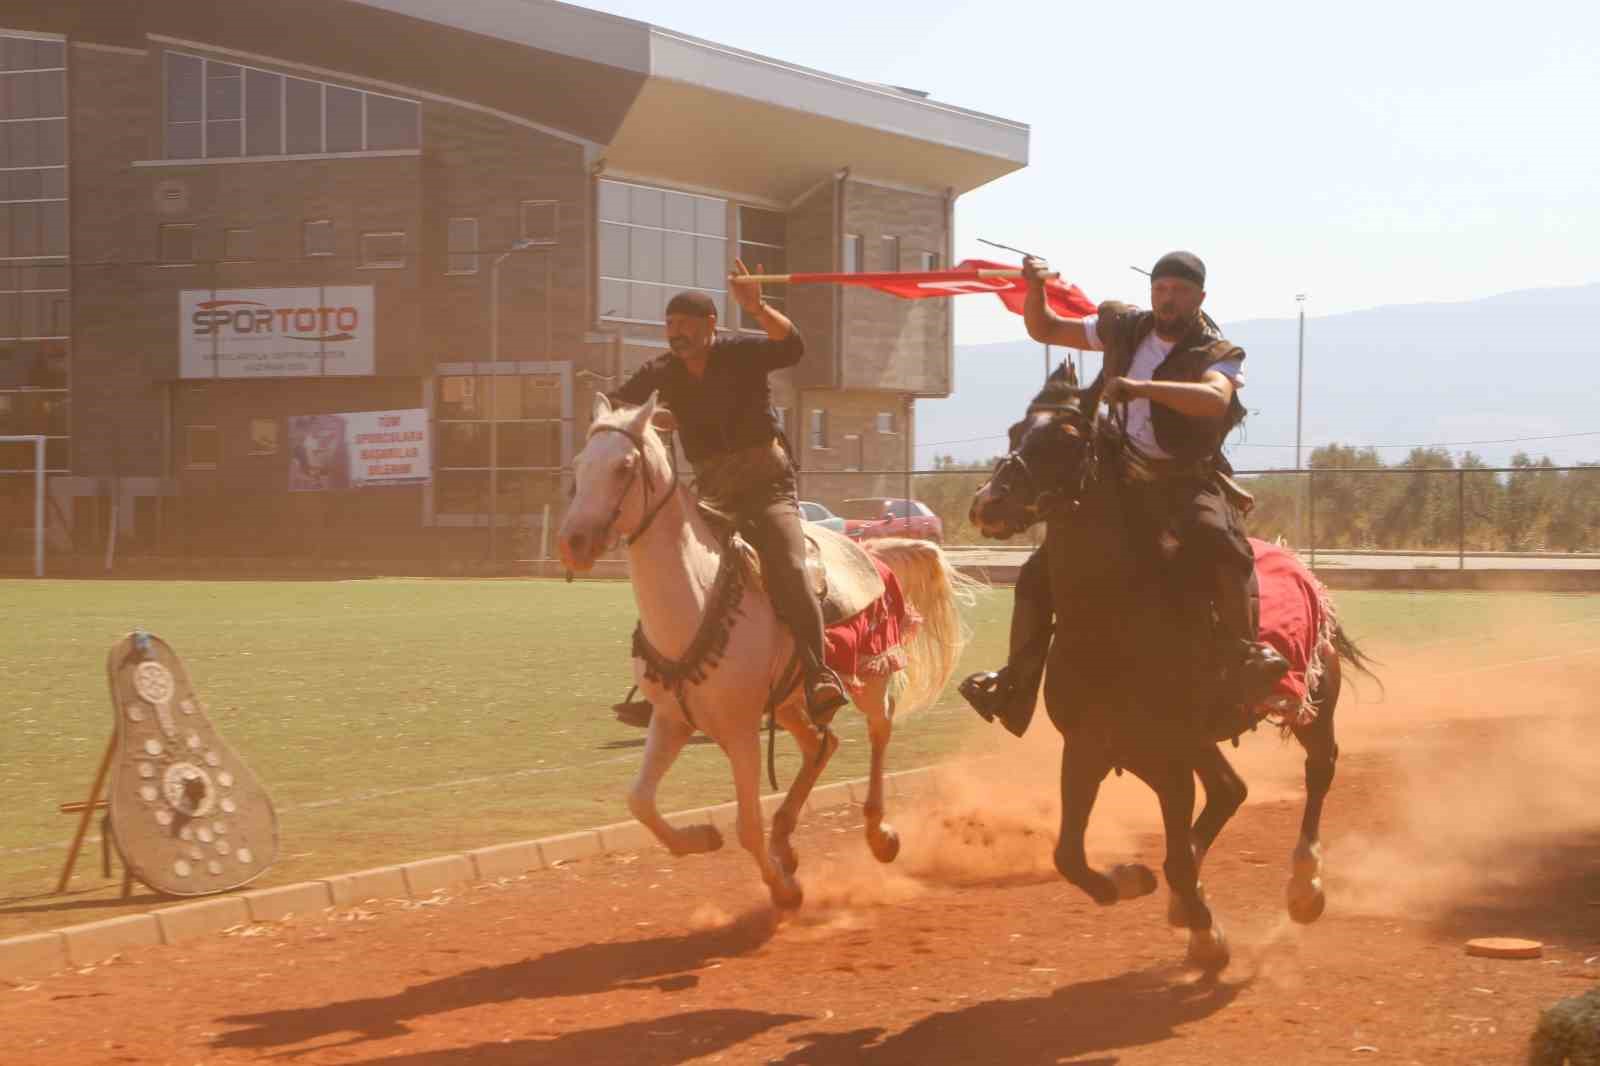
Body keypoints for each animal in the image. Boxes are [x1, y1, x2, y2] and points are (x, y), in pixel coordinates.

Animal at [556, 393, 966, 909]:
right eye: (578, 464)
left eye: (624, 466)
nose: (573, 542)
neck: (695, 598)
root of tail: (868, 551)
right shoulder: (671, 720)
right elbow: (640, 801)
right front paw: (701, 838)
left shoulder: (741, 731)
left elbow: (746, 825)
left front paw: (785, 889)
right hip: (790, 702)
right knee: (822, 744)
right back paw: (786, 838)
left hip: (869, 676)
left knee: (879, 731)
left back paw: (878, 834)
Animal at [960, 361, 1376, 966]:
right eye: (1016, 431)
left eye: (1068, 438)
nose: (990, 503)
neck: (1115, 619)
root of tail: (1304, 570)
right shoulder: (1093, 749)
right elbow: (1070, 854)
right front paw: (1134, 882)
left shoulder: (1168, 755)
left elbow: (1174, 855)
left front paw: (1206, 933)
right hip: (1199, 742)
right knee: (1230, 791)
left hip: (1315, 704)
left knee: (1319, 772)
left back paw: (1305, 887)